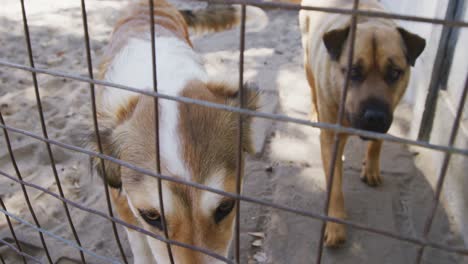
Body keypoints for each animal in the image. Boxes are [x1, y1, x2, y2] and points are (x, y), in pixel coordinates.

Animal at [298, 0, 426, 248]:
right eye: (353, 71)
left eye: (394, 73)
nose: (374, 117)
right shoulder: (332, 135)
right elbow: (335, 186)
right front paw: (335, 224)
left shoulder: (389, 114)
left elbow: (377, 143)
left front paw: (372, 168)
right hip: (307, 62)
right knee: (312, 91)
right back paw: (314, 112)